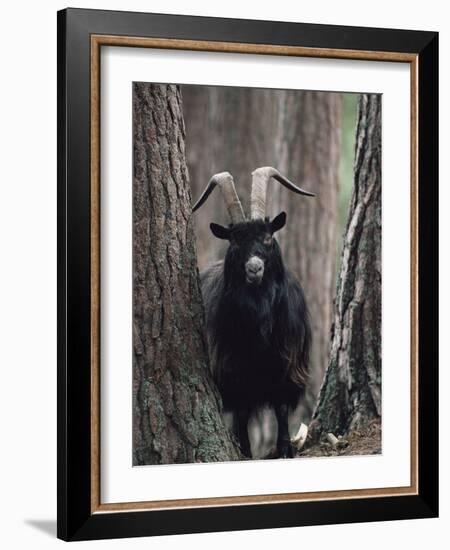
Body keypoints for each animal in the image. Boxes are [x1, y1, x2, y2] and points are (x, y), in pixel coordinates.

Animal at [193, 169, 312, 462]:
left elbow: (281, 408)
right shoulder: (233, 368)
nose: (254, 268)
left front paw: (285, 449)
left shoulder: (286, 364)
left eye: (268, 237)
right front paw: (244, 451)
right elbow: (242, 411)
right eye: (235, 240)